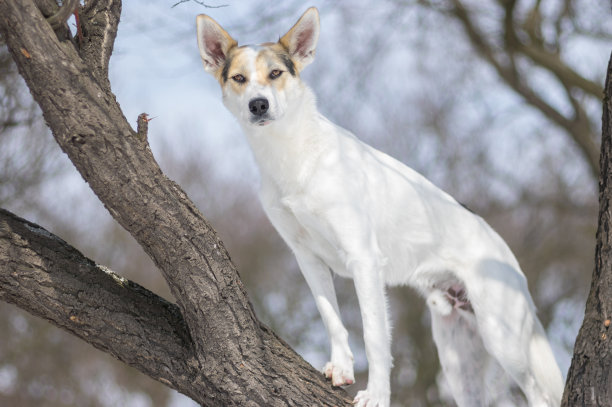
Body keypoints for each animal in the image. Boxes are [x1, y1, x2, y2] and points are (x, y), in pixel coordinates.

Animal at [196, 7, 564, 407]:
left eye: (275, 74)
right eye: (239, 78)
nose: (258, 104)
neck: (291, 154)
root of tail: (509, 258)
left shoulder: (364, 260)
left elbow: (374, 338)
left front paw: (376, 394)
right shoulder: (306, 257)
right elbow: (331, 318)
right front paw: (342, 367)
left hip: (501, 336)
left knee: (539, 394)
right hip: (457, 357)